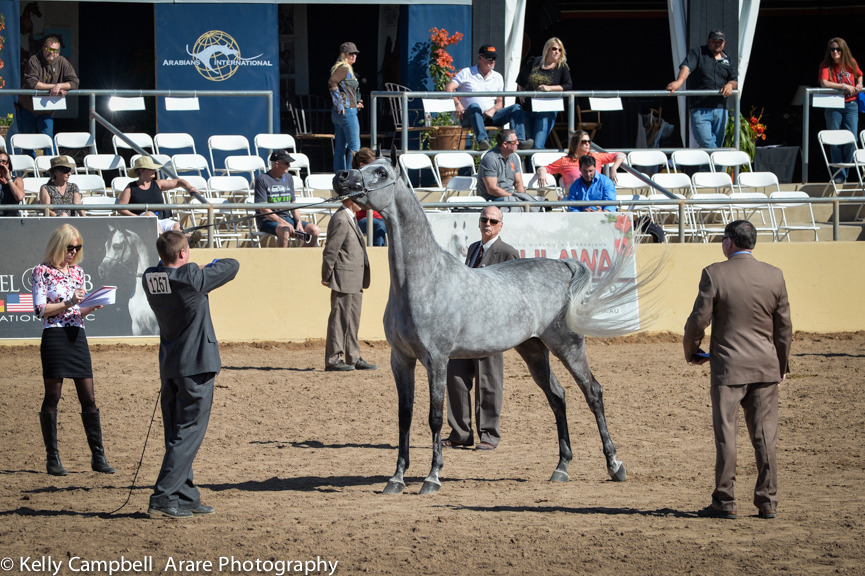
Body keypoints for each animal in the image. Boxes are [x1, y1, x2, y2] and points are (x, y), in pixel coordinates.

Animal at [332, 157, 656, 495]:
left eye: (381, 172)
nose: (340, 176)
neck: (423, 280)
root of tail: (563, 266)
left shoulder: (436, 359)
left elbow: (435, 416)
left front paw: (432, 477)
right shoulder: (401, 359)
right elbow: (404, 417)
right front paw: (396, 479)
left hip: (567, 346)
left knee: (593, 392)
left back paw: (615, 465)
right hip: (533, 350)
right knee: (557, 396)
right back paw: (561, 467)